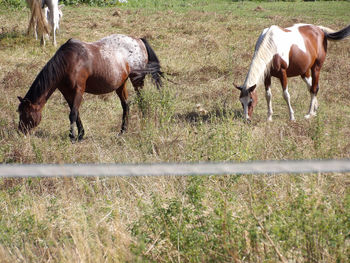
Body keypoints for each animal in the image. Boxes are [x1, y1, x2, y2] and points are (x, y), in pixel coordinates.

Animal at [17, 34, 163, 141]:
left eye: (26, 114)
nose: (20, 132)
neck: (69, 61)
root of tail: (139, 40)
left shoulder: (78, 90)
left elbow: (73, 113)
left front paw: (72, 137)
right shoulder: (67, 93)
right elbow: (76, 113)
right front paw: (81, 134)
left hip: (137, 80)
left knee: (142, 101)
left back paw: (143, 123)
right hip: (121, 84)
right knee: (126, 105)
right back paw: (122, 132)